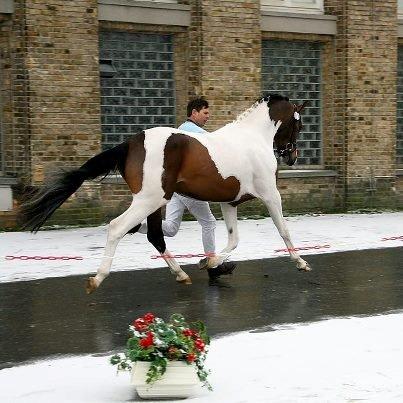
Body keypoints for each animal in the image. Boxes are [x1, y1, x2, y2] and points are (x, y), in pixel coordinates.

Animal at [20, 94, 312, 294]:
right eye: (298, 125)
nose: (292, 156)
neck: (253, 139)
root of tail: (130, 143)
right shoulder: (270, 195)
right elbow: (283, 230)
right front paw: (301, 263)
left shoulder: (230, 203)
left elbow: (233, 239)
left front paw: (211, 263)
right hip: (150, 199)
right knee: (118, 227)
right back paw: (97, 279)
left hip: (154, 202)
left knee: (153, 234)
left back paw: (181, 274)